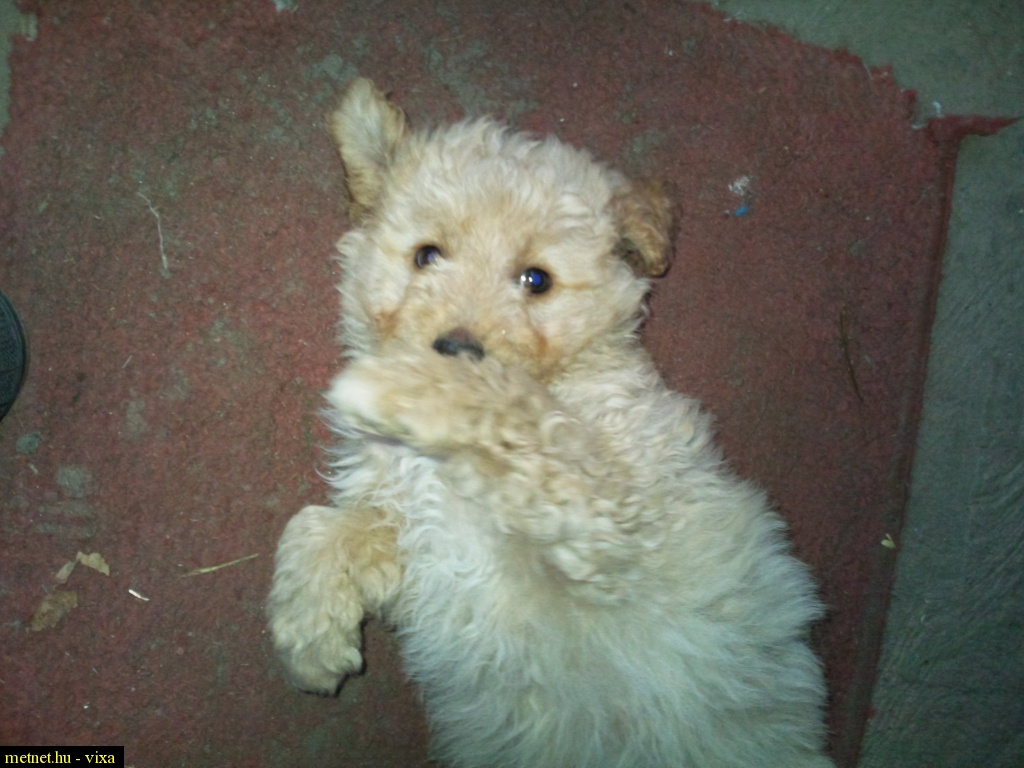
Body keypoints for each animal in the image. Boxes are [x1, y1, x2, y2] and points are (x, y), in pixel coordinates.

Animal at [267, 78, 834, 768]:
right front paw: (308, 635)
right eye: (426, 255)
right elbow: (317, 525)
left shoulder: (609, 526)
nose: (455, 351)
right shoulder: (414, 538)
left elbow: (524, 421)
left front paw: (414, 388)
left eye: (536, 280)